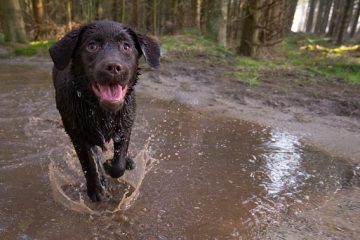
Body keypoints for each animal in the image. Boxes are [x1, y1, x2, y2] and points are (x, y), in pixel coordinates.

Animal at [48, 20, 160, 201]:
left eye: (126, 46)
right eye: (92, 46)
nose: (113, 67)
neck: (101, 111)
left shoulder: (125, 125)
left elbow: (119, 162)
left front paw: (112, 165)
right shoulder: (77, 134)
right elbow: (88, 163)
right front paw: (95, 189)